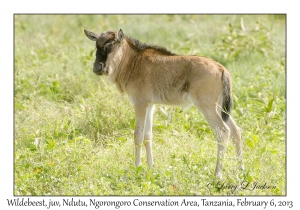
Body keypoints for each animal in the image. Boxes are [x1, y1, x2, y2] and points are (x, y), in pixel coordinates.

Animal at [84, 28, 244, 178]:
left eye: (111, 46)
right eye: (97, 45)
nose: (97, 68)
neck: (133, 61)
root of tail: (222, 69)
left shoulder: (140, 104)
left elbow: (138, 135)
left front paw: (137, 168)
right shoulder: (150, 105)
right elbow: (148, 135)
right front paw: (150, 167)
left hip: (207, 107)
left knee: (223, 132)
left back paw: (218, 174)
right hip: (220, 108)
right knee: (236, 131)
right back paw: (240, 169)